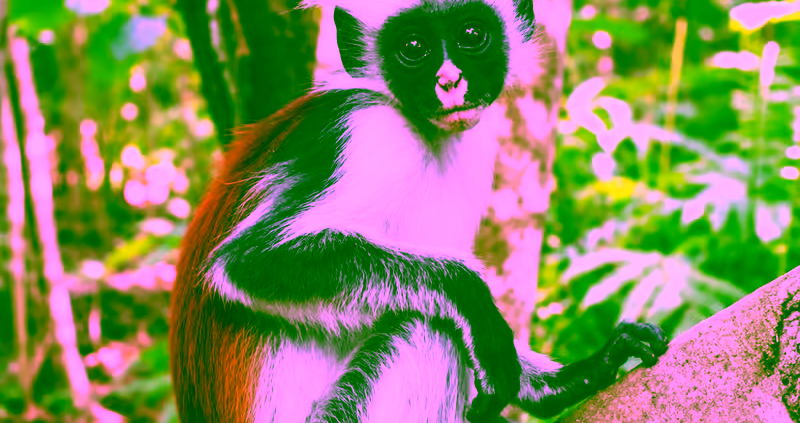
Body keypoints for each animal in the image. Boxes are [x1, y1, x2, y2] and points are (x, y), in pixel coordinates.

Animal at [169, 0, 670, 422]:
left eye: (471, 34)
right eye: (413, 47)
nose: (449, 82)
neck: (418, 126)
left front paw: (576, 375)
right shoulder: (363, 131)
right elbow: (249, 261)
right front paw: (478, 309)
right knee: (429, 329)